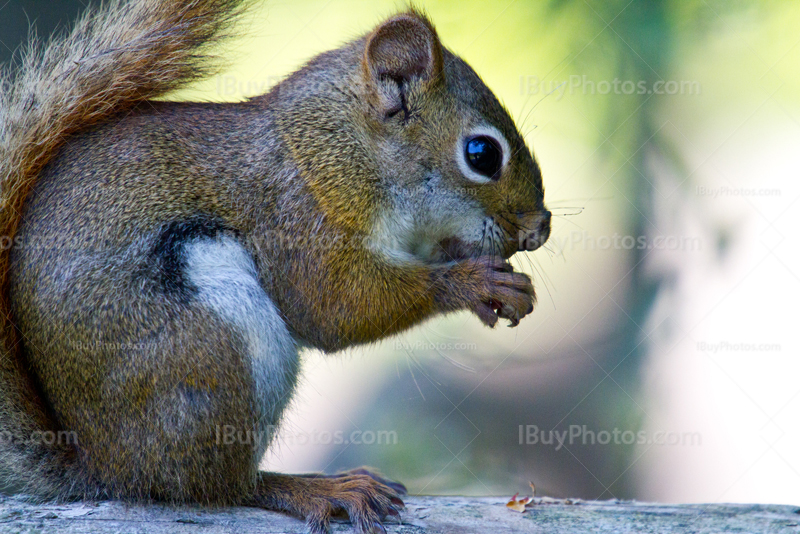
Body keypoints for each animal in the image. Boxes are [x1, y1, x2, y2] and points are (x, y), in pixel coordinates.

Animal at [0, 1, 552, 534]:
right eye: (482, 153)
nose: (541, 229)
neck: (336, 150)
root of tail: (105, 468)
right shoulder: (296, 216)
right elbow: (334, 307)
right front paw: (469, 282)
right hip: (211, 347)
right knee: (215, 489)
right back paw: (309, 488)